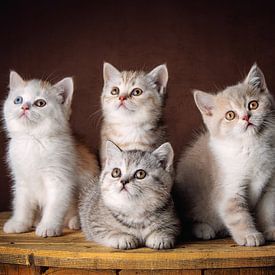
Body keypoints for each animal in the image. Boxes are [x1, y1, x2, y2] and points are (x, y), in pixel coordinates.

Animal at [2, 72, 99, 238]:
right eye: (18, 99)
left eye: (40, 103)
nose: (24, 107)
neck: (33, 140)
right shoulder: (21, 180)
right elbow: (22, 203)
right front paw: (19, 223)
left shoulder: (59, 179)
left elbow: (54, 206)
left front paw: (48, 226)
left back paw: (75, 221)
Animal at [176, 64, 275, 248]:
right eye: (230, 115)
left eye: (253, 104)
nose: (246, 117)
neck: (250, 146)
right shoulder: (229, 187)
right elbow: (237, 214)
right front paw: (249, 235)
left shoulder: (270, 186)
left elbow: (268, 209)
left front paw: (269, 229)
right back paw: (203, 229)